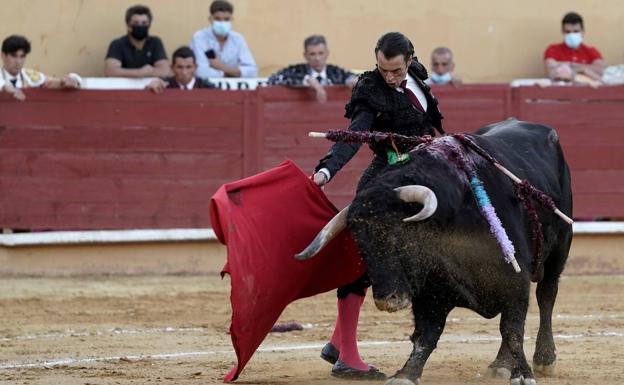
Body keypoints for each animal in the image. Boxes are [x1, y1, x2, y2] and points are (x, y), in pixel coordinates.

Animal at [298, 118, 572, 382]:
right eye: (361, 245)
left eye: (399, 236)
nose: (387, 300)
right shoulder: (430, 290)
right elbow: (426, 334)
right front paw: (406, 374)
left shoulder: (516, 278)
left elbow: (512, 328)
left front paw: (523, 374)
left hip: (560, 248)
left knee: (546, 296)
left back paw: (543, 359)